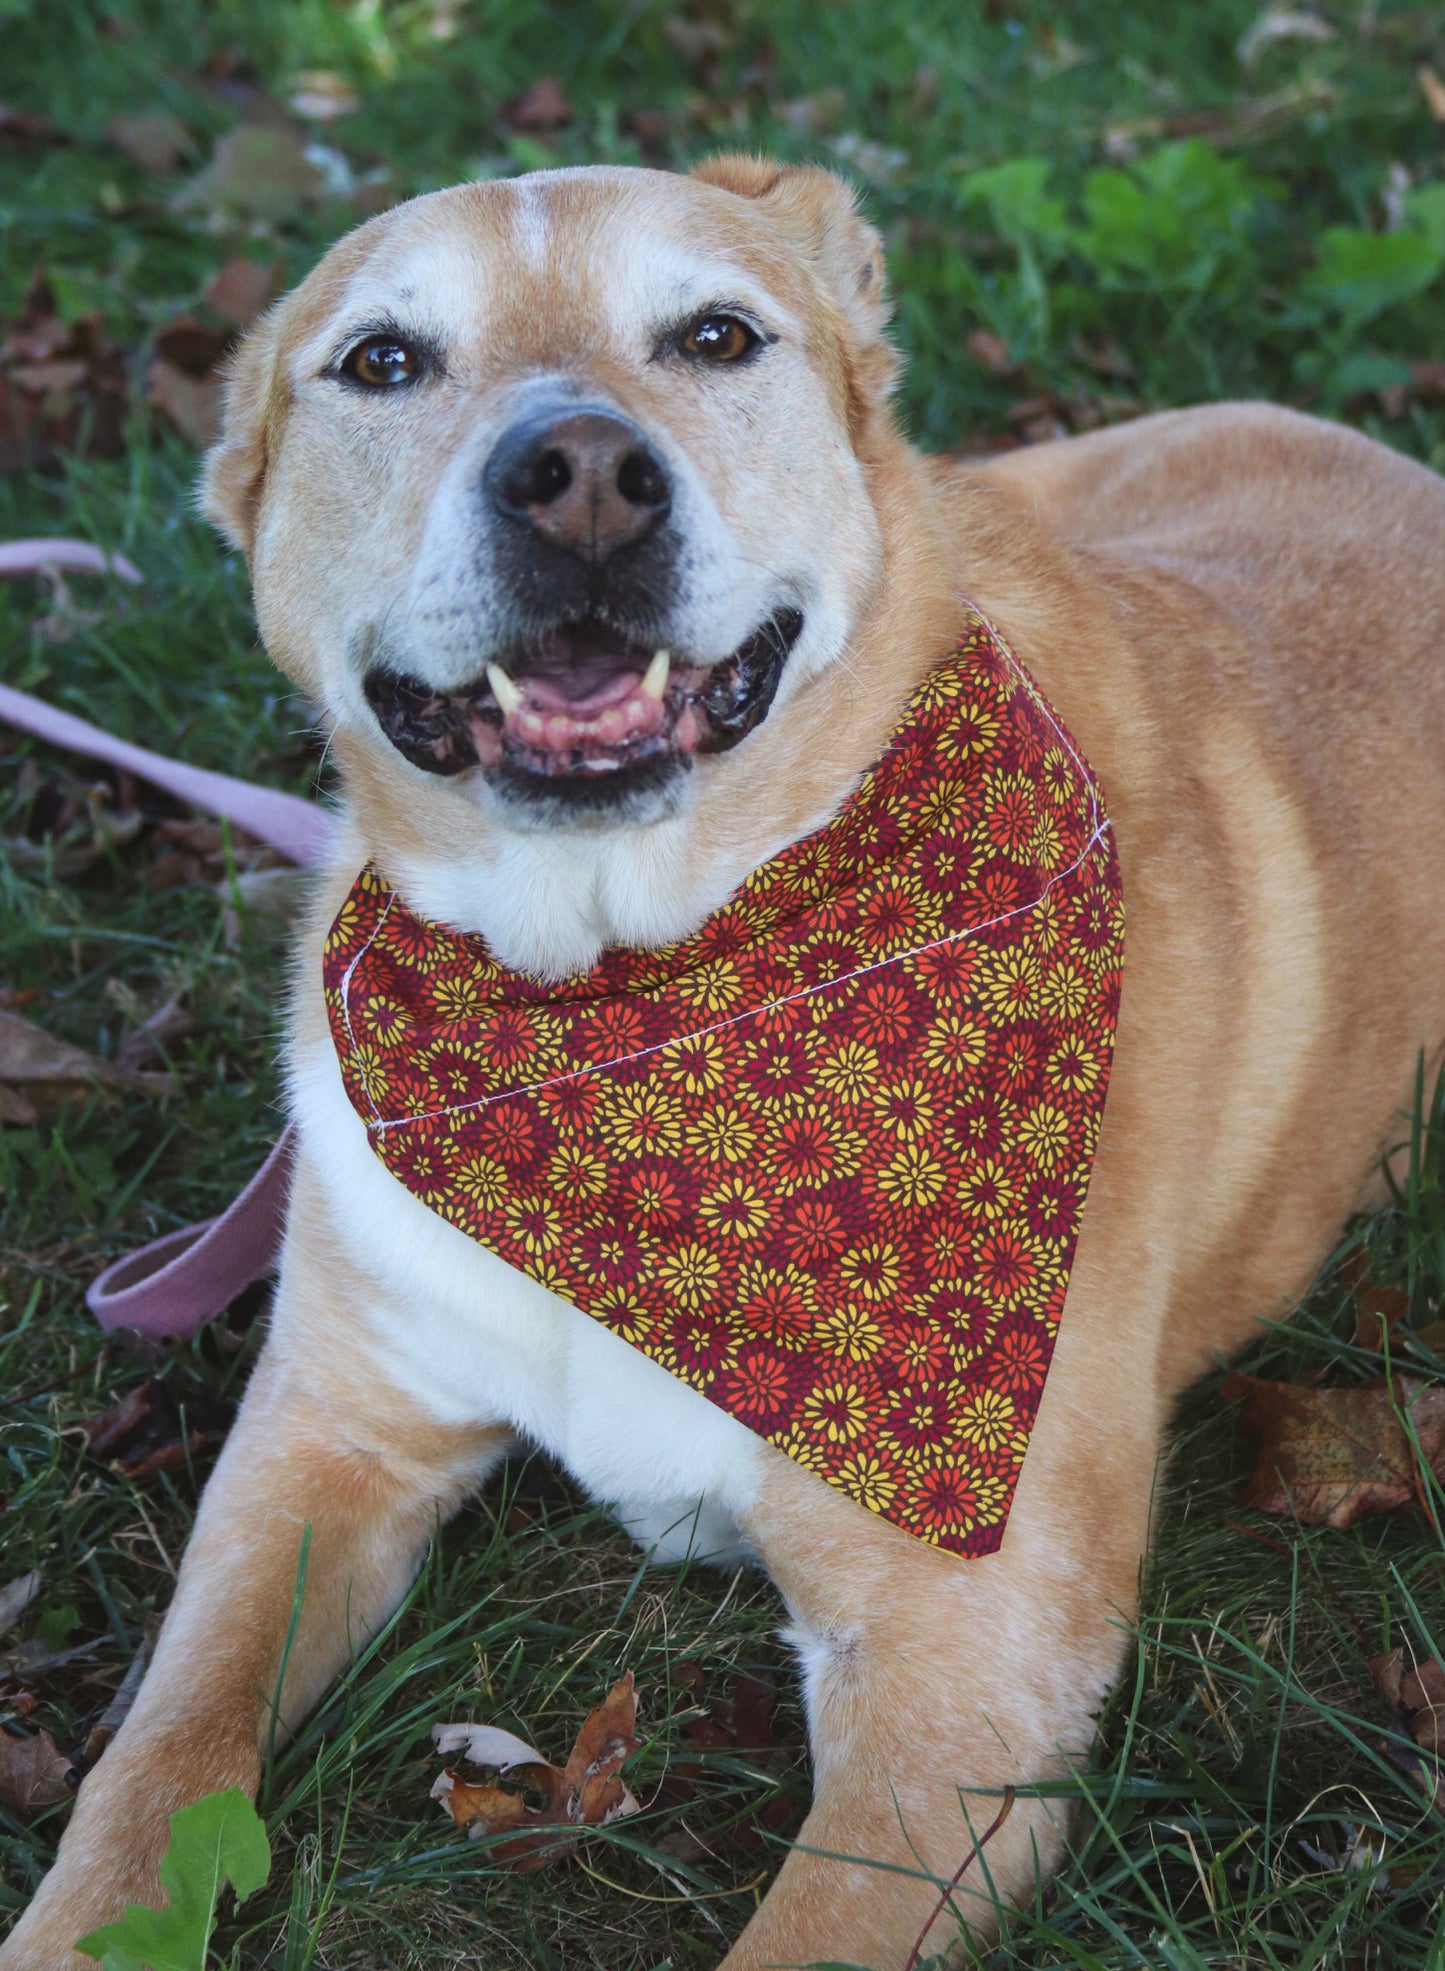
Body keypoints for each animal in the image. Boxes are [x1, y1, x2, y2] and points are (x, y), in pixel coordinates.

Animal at [8, 157, 1443, 1971]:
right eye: (383, 361)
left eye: (714, 335)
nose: (581, 482)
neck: (626, 1003)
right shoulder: (324, 1435)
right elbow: (159, 1762)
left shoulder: (964, 1670)